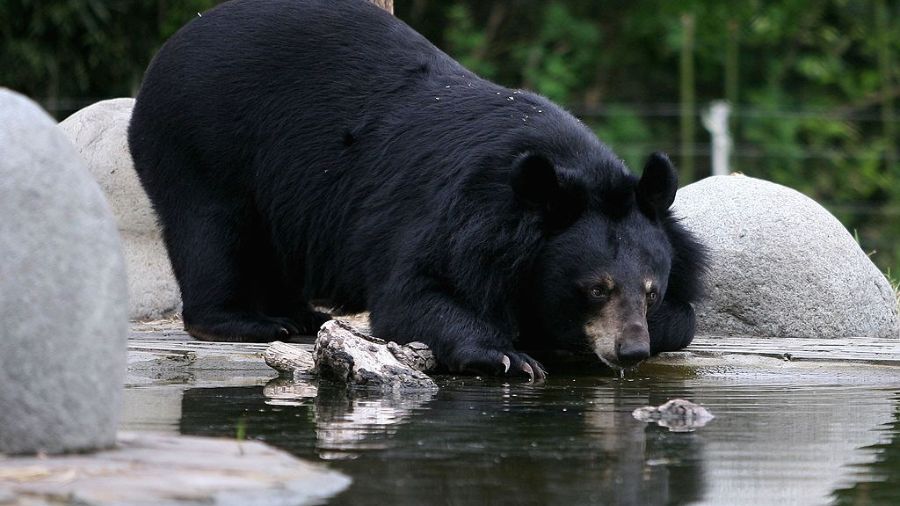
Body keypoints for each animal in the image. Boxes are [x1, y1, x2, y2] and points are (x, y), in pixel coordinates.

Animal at [128, 0, 708, 379]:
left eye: (651, 290)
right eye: (595, 289)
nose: (630, 351)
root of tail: (175, 42)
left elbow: (687, 316)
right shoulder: (455, 216)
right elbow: (415, 294)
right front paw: (509, 355)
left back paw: (304, 314)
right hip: (201, 140)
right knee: (212, 230)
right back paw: (253, 321)